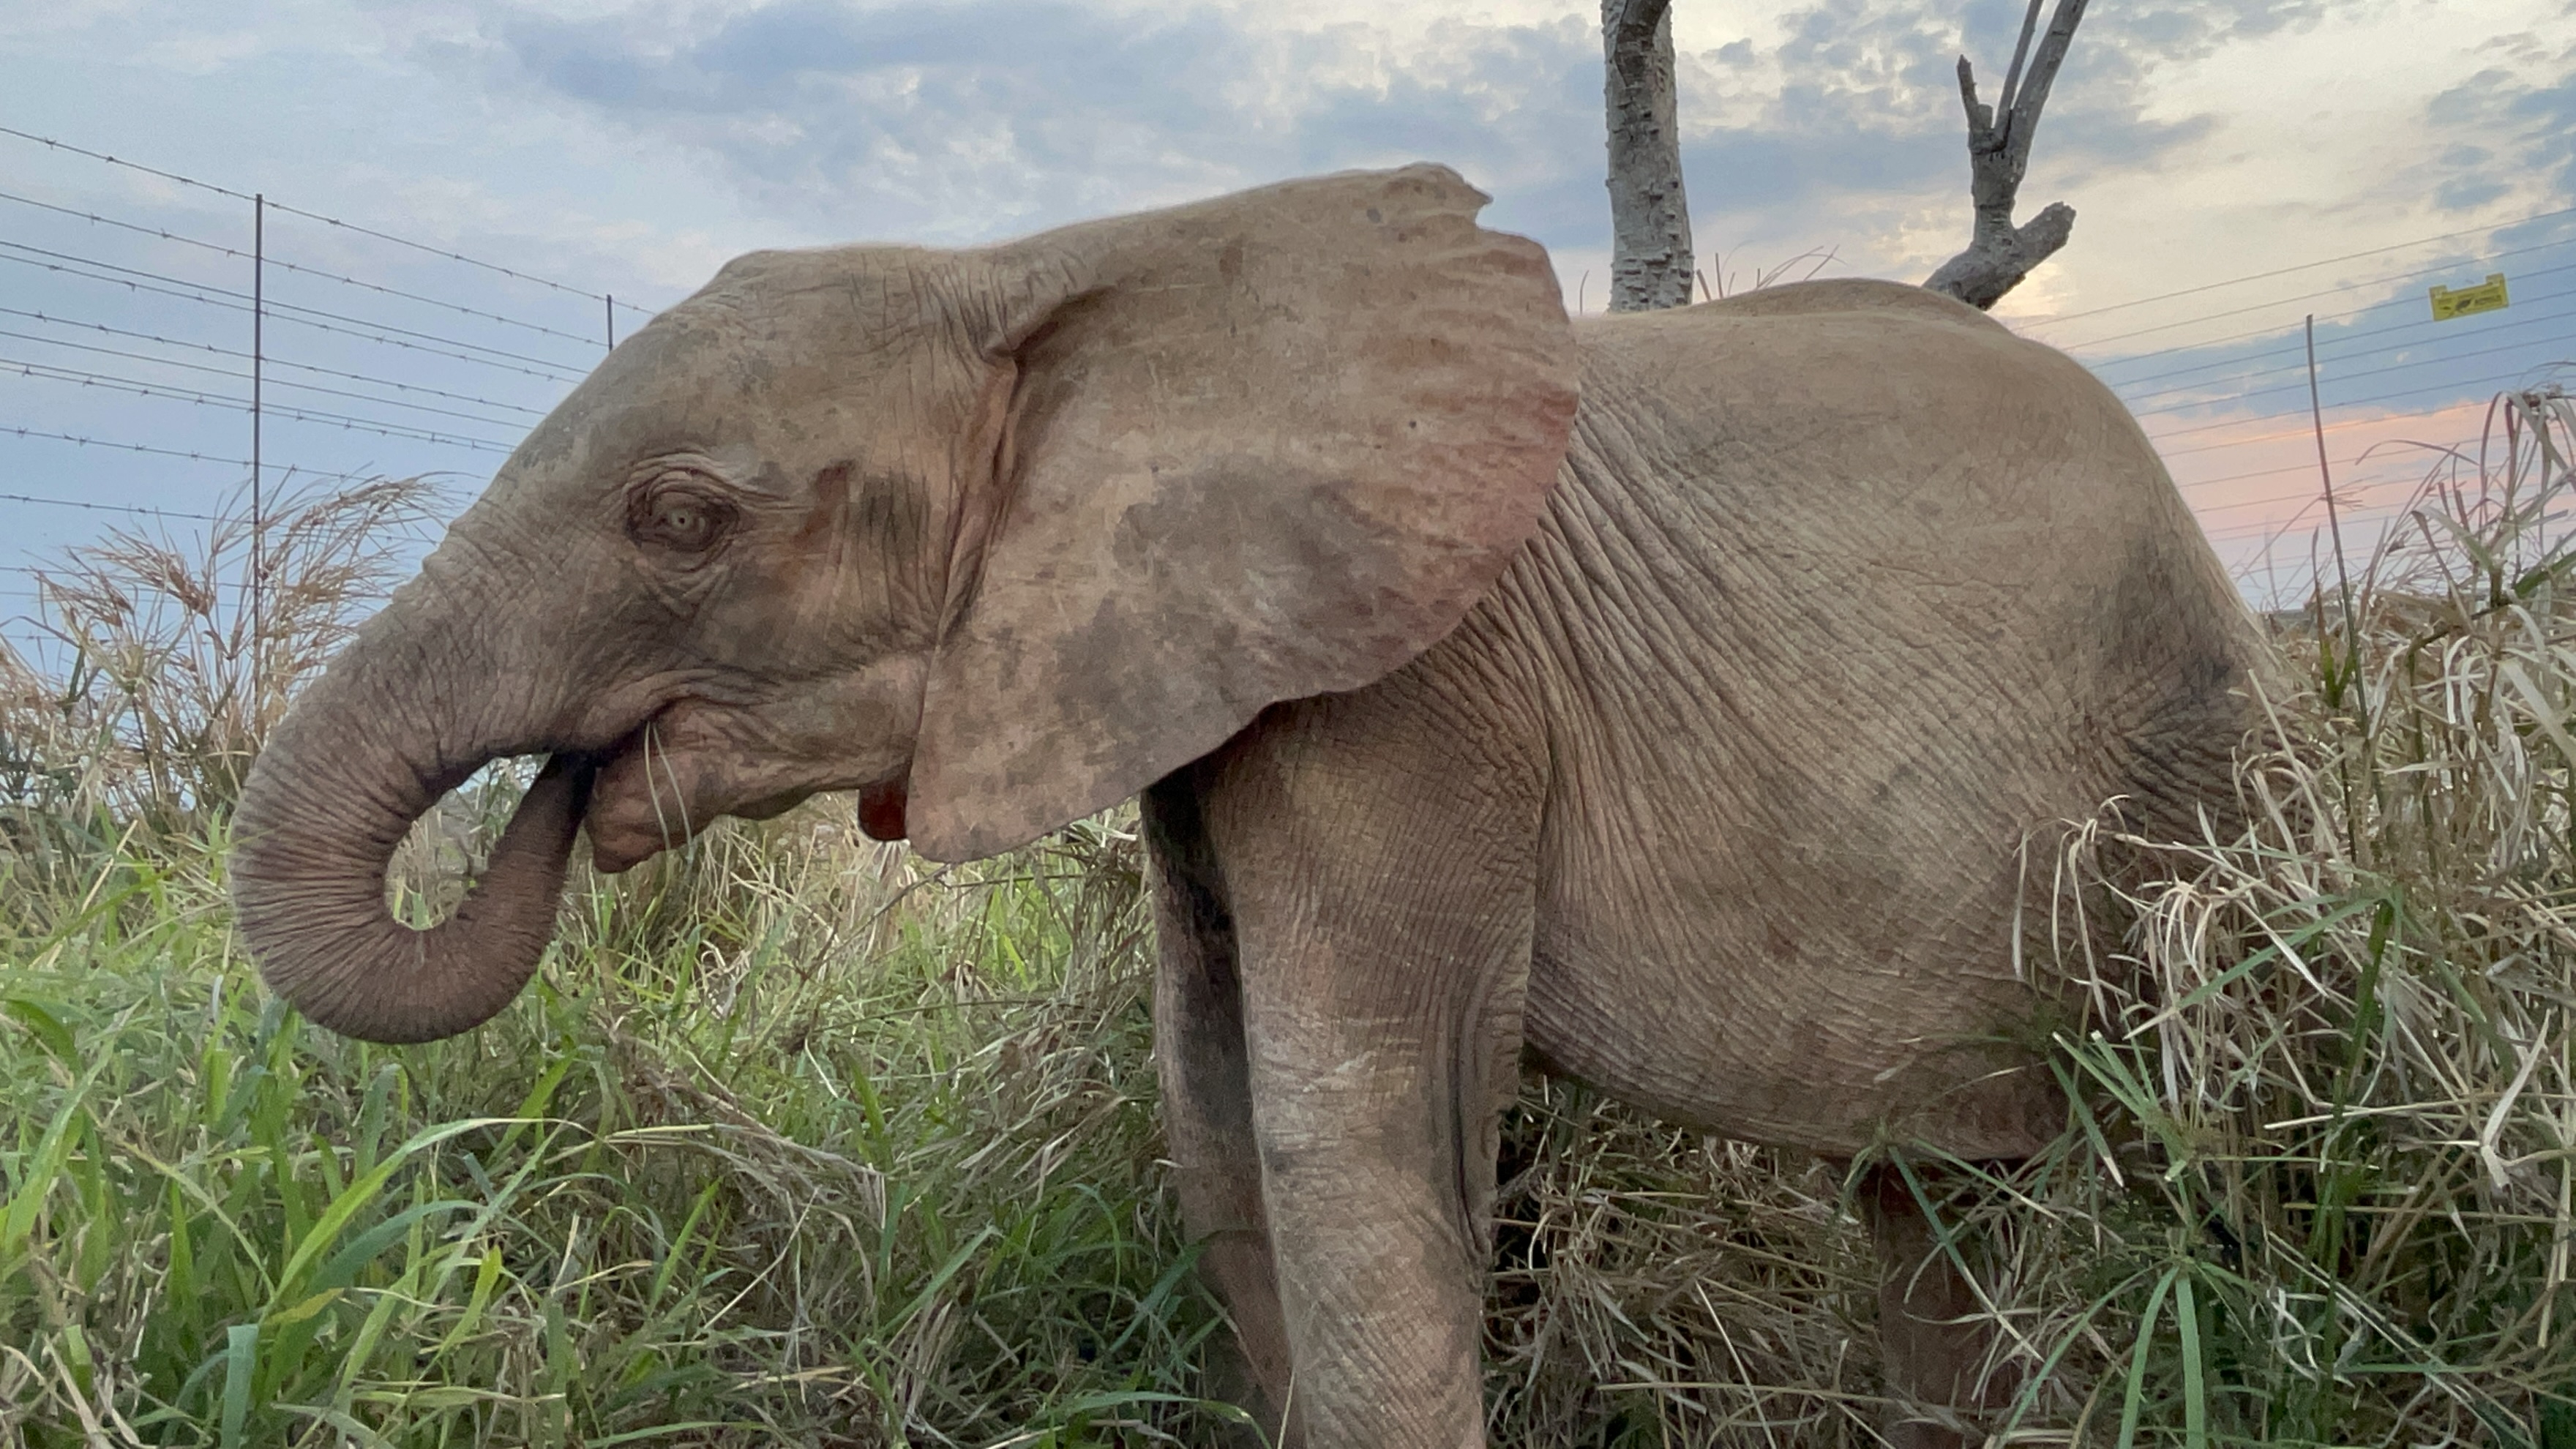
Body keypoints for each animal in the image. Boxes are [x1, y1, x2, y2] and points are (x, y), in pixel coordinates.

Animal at [230, 164, 2265, 1448]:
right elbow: (1214, 1135)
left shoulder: (1418, 689)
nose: (582, 790)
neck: (1041, 266)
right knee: (1936, 1203)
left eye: (679, 517)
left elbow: (1349, 1140)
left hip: (2190, 773)